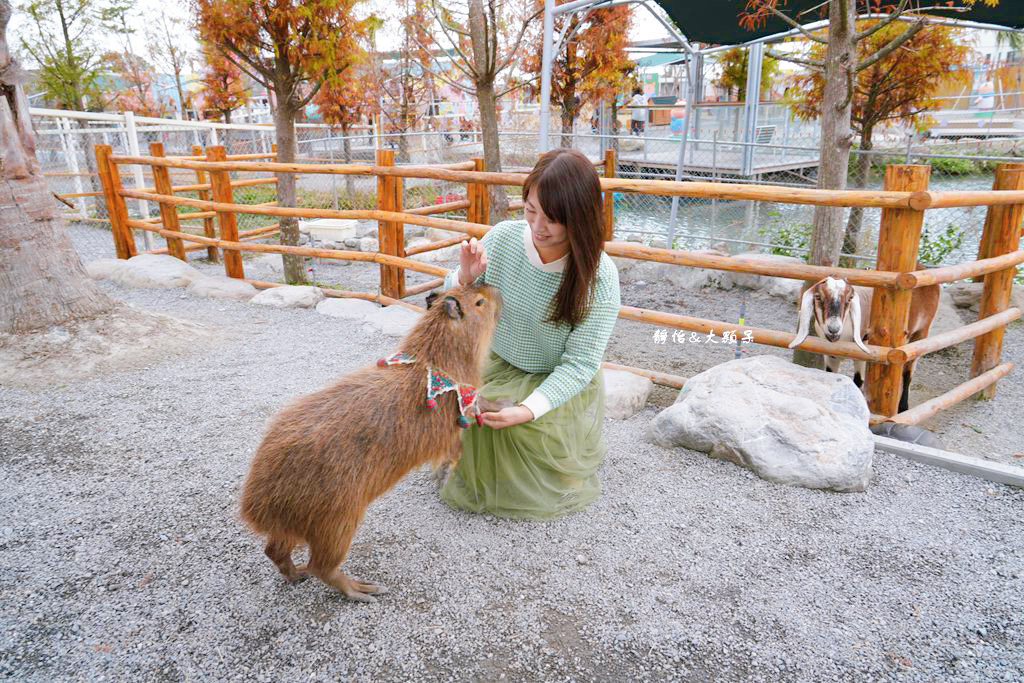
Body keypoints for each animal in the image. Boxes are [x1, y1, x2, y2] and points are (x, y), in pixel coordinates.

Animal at [786, 274, 937, 413]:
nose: (833, 329)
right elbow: (832, 375)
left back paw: (903, 407)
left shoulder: (862, 350)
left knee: (908, 371)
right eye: (818, 297)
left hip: (920, 334)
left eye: (850, 298)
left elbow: (858, 380)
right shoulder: (830, 355)